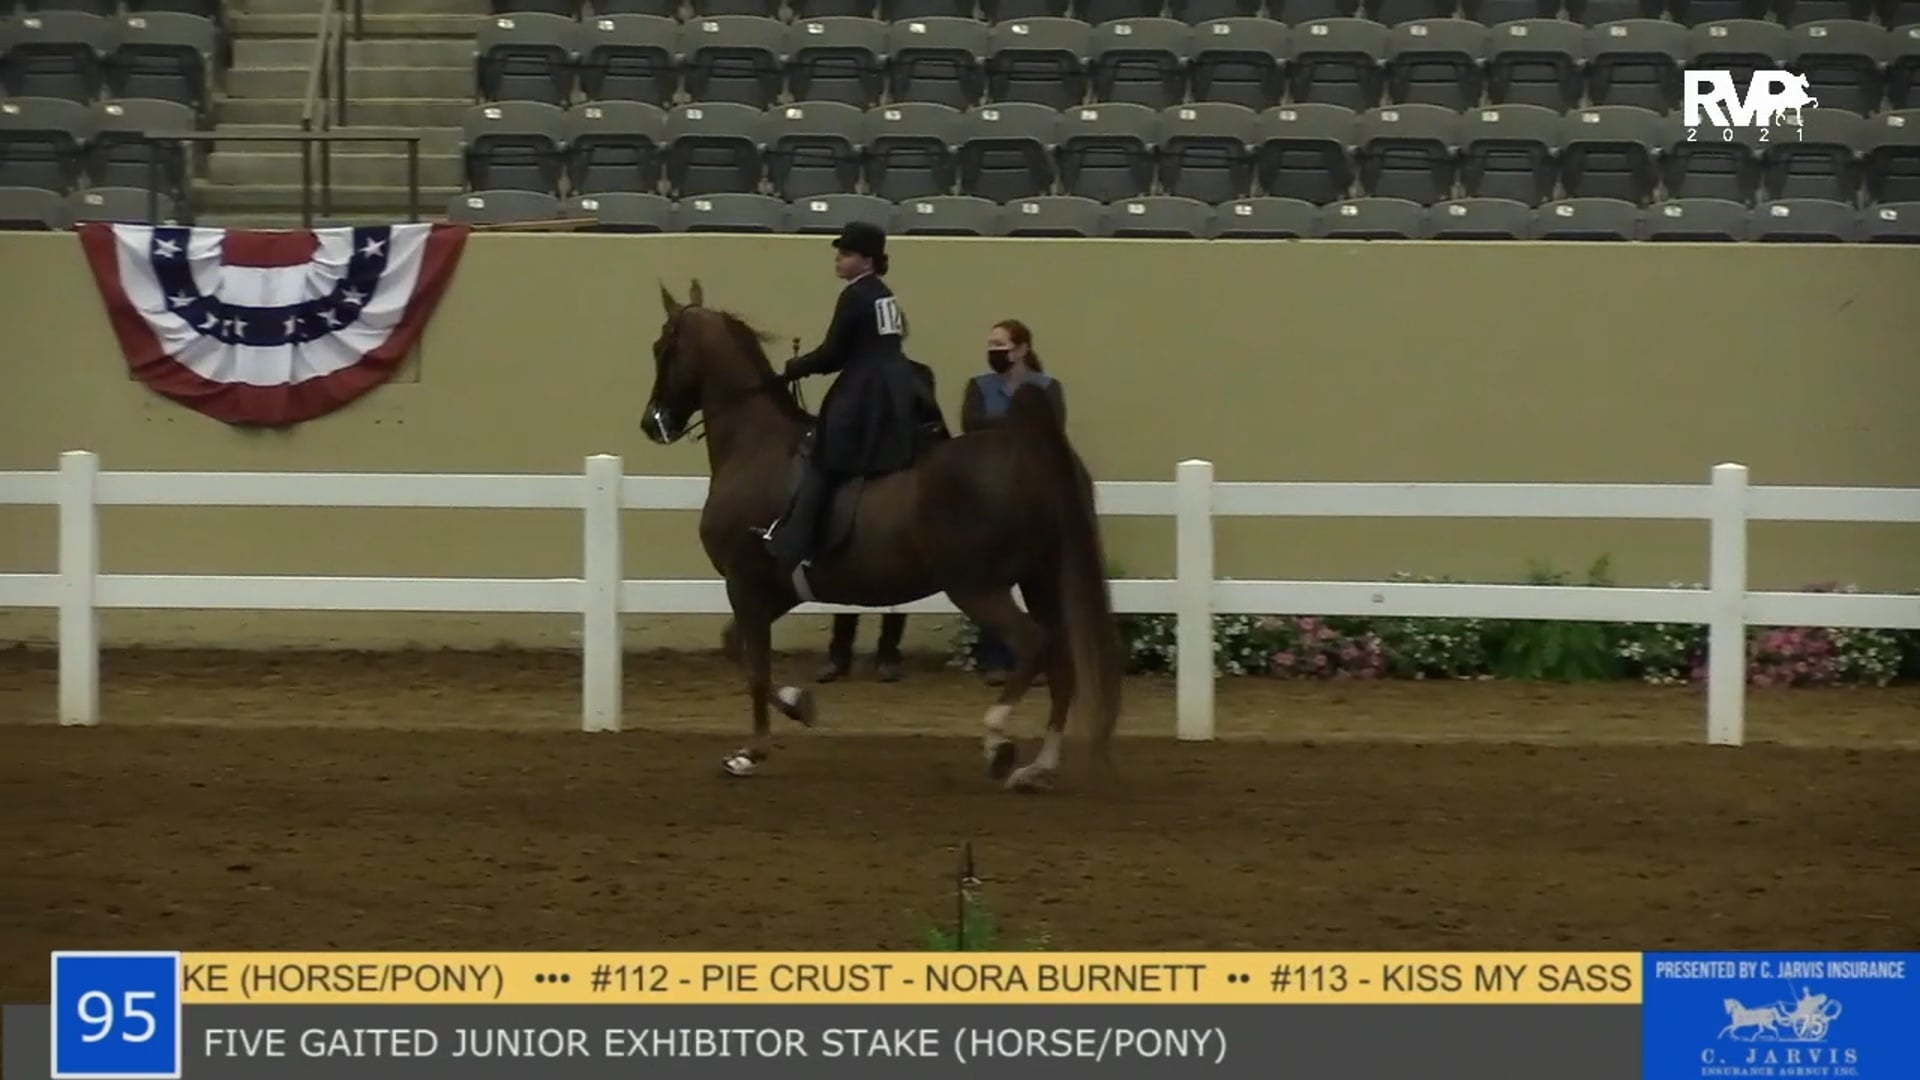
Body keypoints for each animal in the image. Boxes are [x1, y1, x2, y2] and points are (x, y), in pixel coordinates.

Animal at [640, 279, 1122, 792]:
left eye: (661, 347)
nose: (652, 423)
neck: (753, 445)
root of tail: (1025, 448)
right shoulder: (776, 588)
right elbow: (736, 647)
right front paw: (798, 704)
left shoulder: (743, 581)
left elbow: (754, 666)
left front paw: (750, 753)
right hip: (1042, 579)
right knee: (1062, 663)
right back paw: (1038, 766)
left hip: (978, 586)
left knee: (1033, 644)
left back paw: (998, 743)